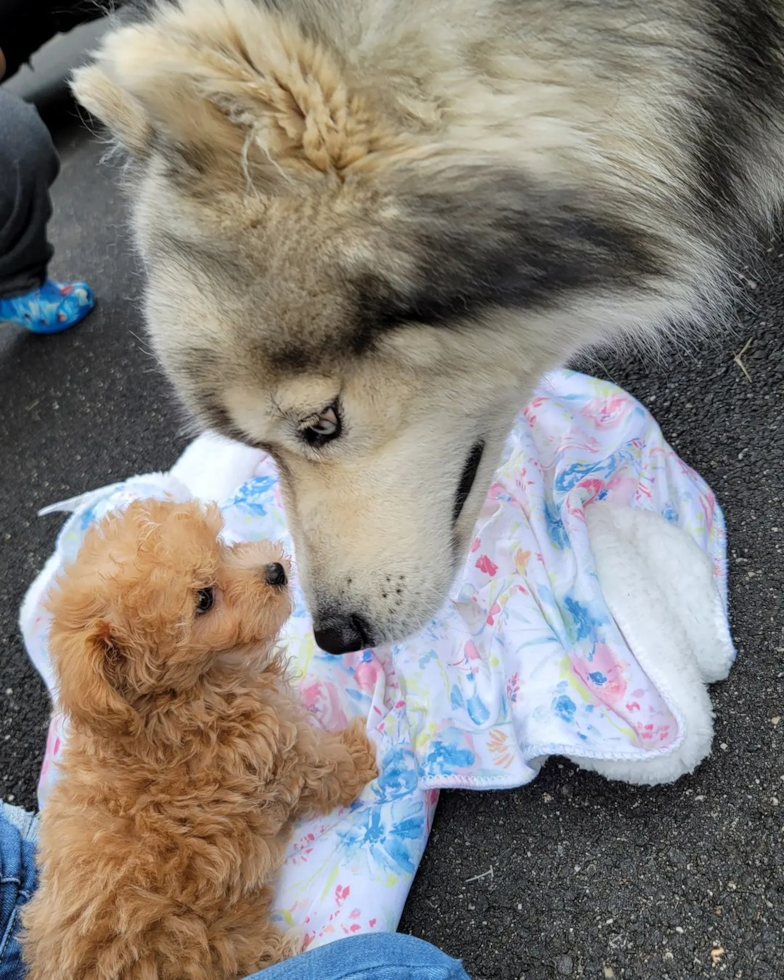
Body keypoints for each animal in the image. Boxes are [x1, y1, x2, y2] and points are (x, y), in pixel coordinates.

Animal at [23, 498, 378, 980]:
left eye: (221, 544)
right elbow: (325, 765)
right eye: (204, 600)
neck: (181, 697)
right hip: (203, 942)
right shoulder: (272, 755)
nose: (274, 571)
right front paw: (362, 755)